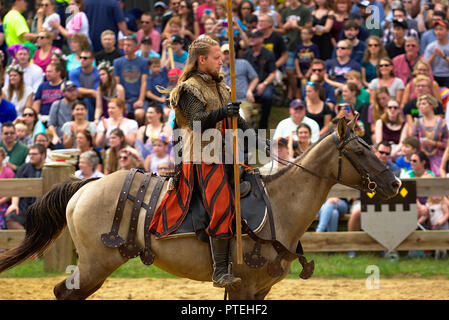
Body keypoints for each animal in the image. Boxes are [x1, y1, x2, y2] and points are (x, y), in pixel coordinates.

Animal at [0, 118, 400, 300]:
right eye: (360, 150)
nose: (395, 183)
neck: (279, 205)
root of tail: (87, 185)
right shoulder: (243, 286)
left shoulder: (260, 290)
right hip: (96, 264)